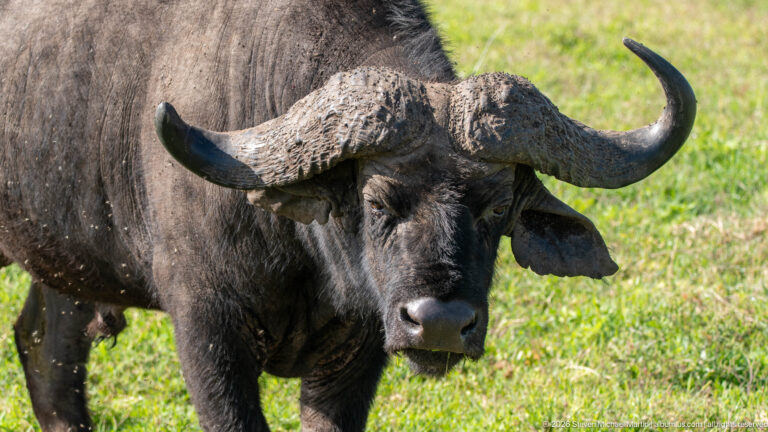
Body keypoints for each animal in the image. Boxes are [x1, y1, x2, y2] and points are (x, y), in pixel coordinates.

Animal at [0, 0, 695, 430]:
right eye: (376, 200)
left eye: (498, 206)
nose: (440, 324)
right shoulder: (205, 326)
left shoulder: (360, 348)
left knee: (44, 348)